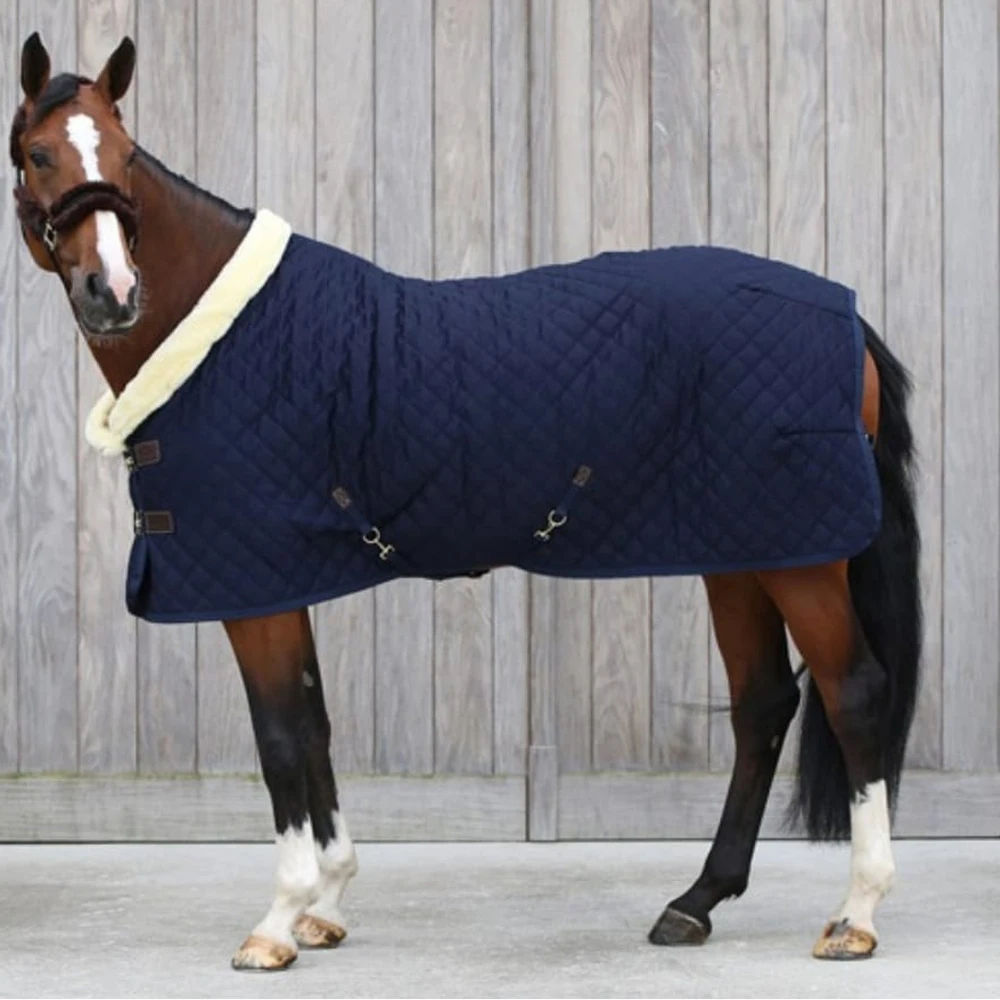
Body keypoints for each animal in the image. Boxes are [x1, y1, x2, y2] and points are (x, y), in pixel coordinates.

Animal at [8, 33, 921, 971]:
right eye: (39, 153)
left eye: (123, 155)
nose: (114, 292)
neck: (229, 337)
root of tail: (846, 319)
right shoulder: (283, 579)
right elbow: (314, 724)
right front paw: (325, 905)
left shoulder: (253, 589)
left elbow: (281, 737)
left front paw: (276, 922)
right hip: (742, 551)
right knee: (763, 705)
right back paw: (696, 902)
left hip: (803, 561)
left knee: (854, 694)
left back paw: (855, 914)